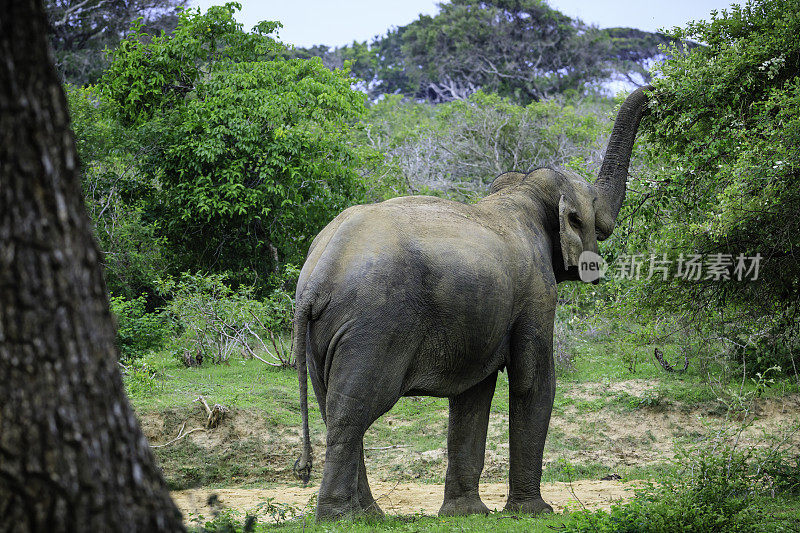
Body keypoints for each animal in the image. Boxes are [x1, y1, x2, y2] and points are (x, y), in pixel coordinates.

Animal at [290, 85, 652, 516]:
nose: (658, 95)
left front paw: (466, 514)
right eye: (591, 213)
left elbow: (473, 394)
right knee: (353, 412)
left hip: (323, 335)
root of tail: (317, 276)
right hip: (373, 326)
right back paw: (341, 516)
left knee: (332, 408)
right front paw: (534, 512)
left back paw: (368, 517)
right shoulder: (536, 292)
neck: (522, 191)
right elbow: (533, 381)